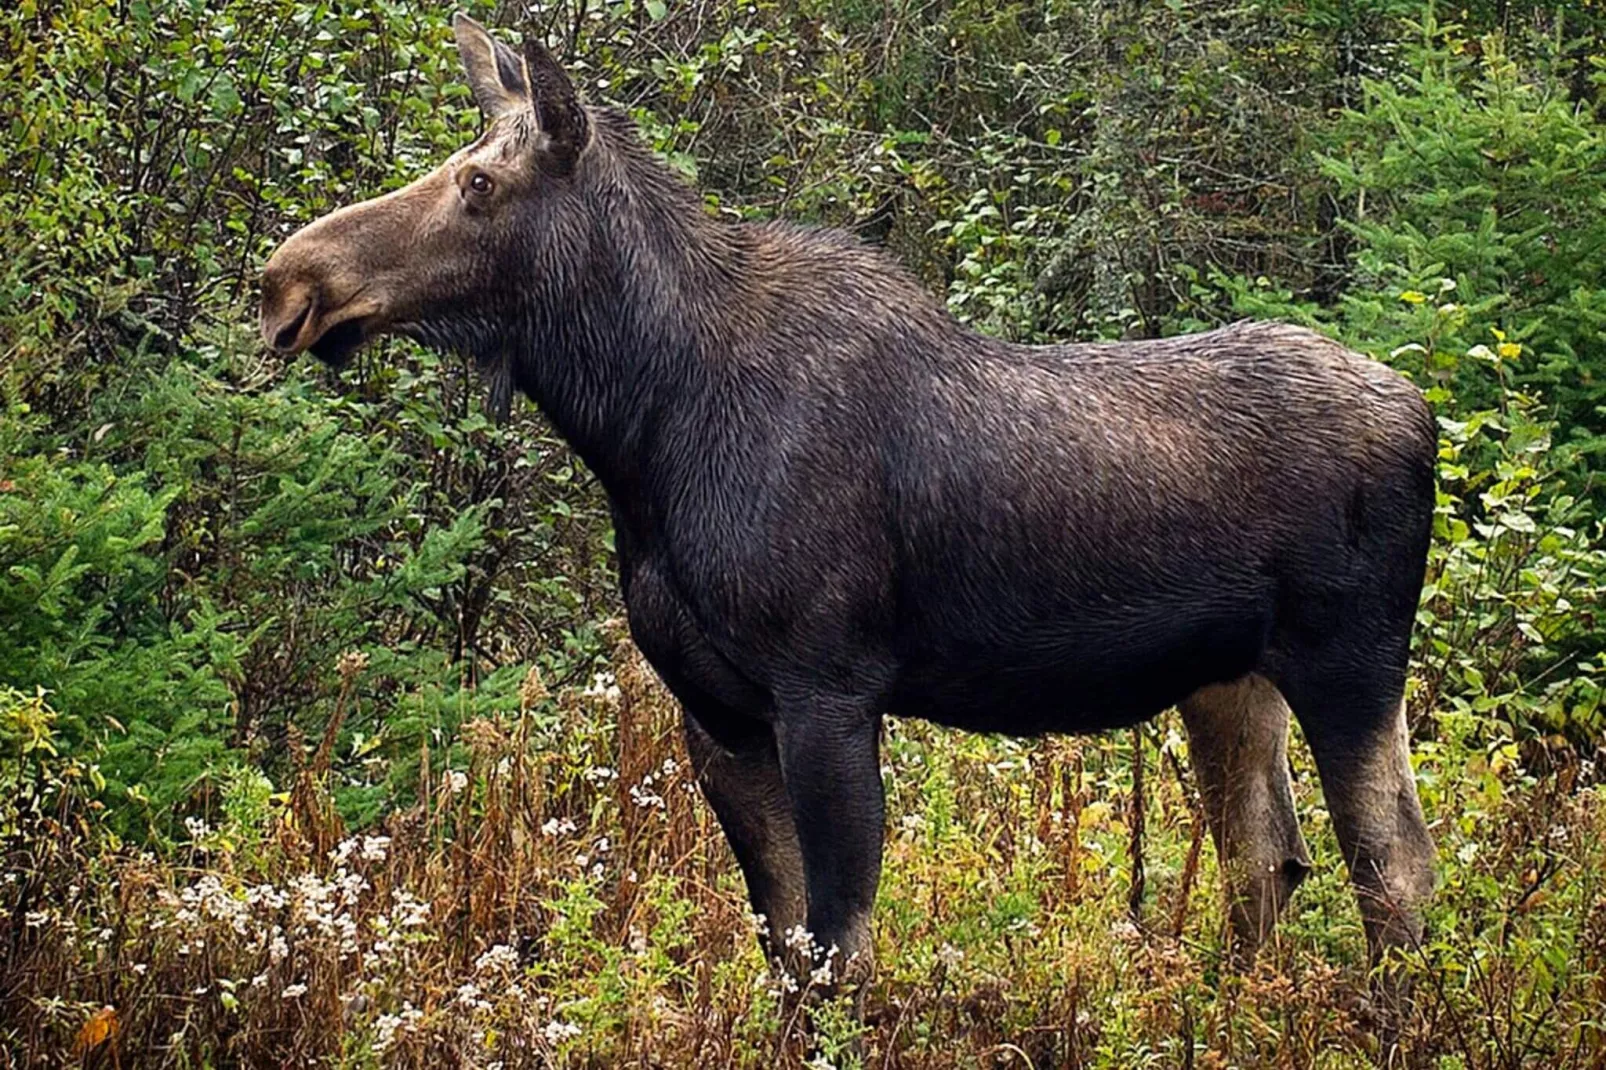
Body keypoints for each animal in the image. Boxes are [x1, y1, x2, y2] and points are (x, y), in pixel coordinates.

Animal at [256, 10, 1438, 1015]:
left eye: (479, 181)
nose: (286, 281)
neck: (642, 426)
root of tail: (1425, 409)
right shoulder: (716, 709)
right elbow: (783, 944)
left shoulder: (827, 685)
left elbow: (838, 951)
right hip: (1228, 678)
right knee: (1269, 857)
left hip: (1351, 659)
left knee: (1394, 865)